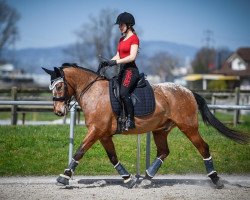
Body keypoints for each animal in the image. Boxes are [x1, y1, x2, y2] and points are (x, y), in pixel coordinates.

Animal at [42, 63, 249, 188]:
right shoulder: (103, 134)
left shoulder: (96, 131)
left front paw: (64, 177)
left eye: (59, 86)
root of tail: (188, 91)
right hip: (160, 130)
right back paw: (147, 176)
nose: (58, 112)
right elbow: (112, 156)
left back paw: (215, 179)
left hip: (188, 127)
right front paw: (127, 178)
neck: (94, 92)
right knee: (164, 151)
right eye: (51, 87)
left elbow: (79, 151)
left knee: (203, 147)